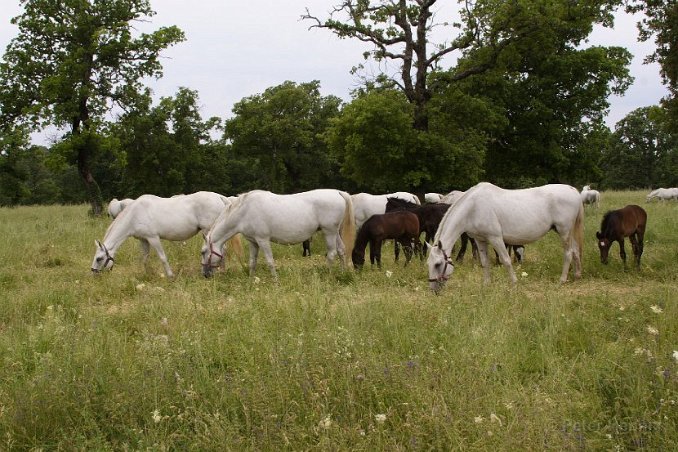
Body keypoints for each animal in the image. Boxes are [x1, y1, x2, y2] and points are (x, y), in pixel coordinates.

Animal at [90, 192, 239, 278]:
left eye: (99, 258)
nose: (94, 273)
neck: (134, 214)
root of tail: (220, 198)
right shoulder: (143, 240)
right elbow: (144, 258)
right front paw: (148, 274)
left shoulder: (153, 238)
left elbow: (162, 257)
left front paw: (170, 275)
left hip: (209, 231)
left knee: (220, 250)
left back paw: (220, 271)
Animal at [202, 188, 358, 278]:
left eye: (203, 252)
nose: (205, 274)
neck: (245, 211)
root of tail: (338, 192)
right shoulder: (253, 242)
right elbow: (252, 262)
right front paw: (251, 280)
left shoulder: (263, 240)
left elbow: (270, 261)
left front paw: (275, 281)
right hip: (335, 233)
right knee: (341, 250)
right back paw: (342, 273)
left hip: (329, 232)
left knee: (331, 254)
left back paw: (330, 276)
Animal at [430, 184, 584, 294]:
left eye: (438, 264)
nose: (433, 290)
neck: (473, 208)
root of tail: (573, 191)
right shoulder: (480, 240)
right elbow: (485, 262)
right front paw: (486, 285)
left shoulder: (496, 238)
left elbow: (506, 261)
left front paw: (514, 283)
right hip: (569, 233)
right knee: (576, 251)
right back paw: (577, 276)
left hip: (564, 232)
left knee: (569, 253)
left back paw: (562, 280)